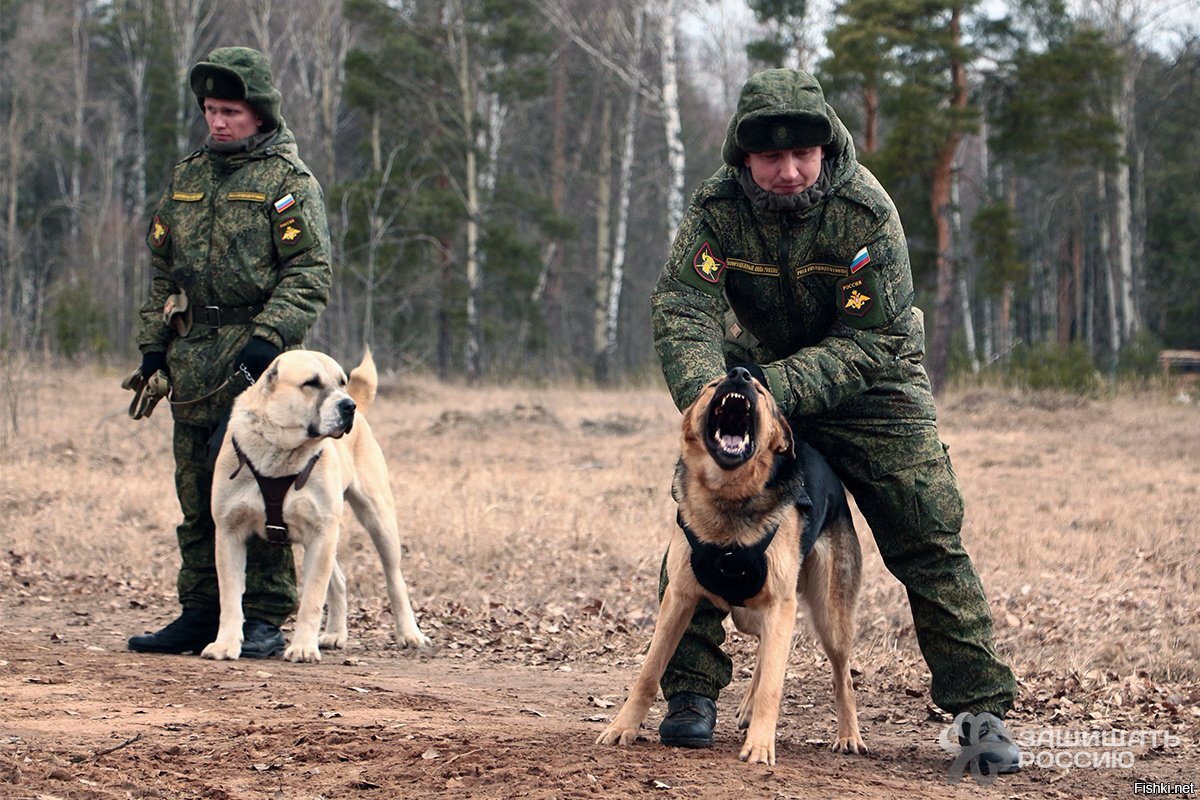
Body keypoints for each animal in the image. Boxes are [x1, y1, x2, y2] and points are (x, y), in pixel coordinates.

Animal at [124, 45, 331, 657]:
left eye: (231, 110)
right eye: (215, 110)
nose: (216, 123)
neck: (233, 161)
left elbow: (302, 265)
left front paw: (262, 632)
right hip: (195, 455)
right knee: (193, 512)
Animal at [597, 367, 864, 767]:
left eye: (761, 392)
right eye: (712, 385)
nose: (740, 373)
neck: (729, 497)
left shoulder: (780, 604)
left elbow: (773, 684)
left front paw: (761, 746)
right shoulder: (678, 599)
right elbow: (648, 672)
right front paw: (622, 726)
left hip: (828, 618)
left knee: (841, 675)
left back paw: (848, 735)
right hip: (748, 613)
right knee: (764, 645)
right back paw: (750, 706)